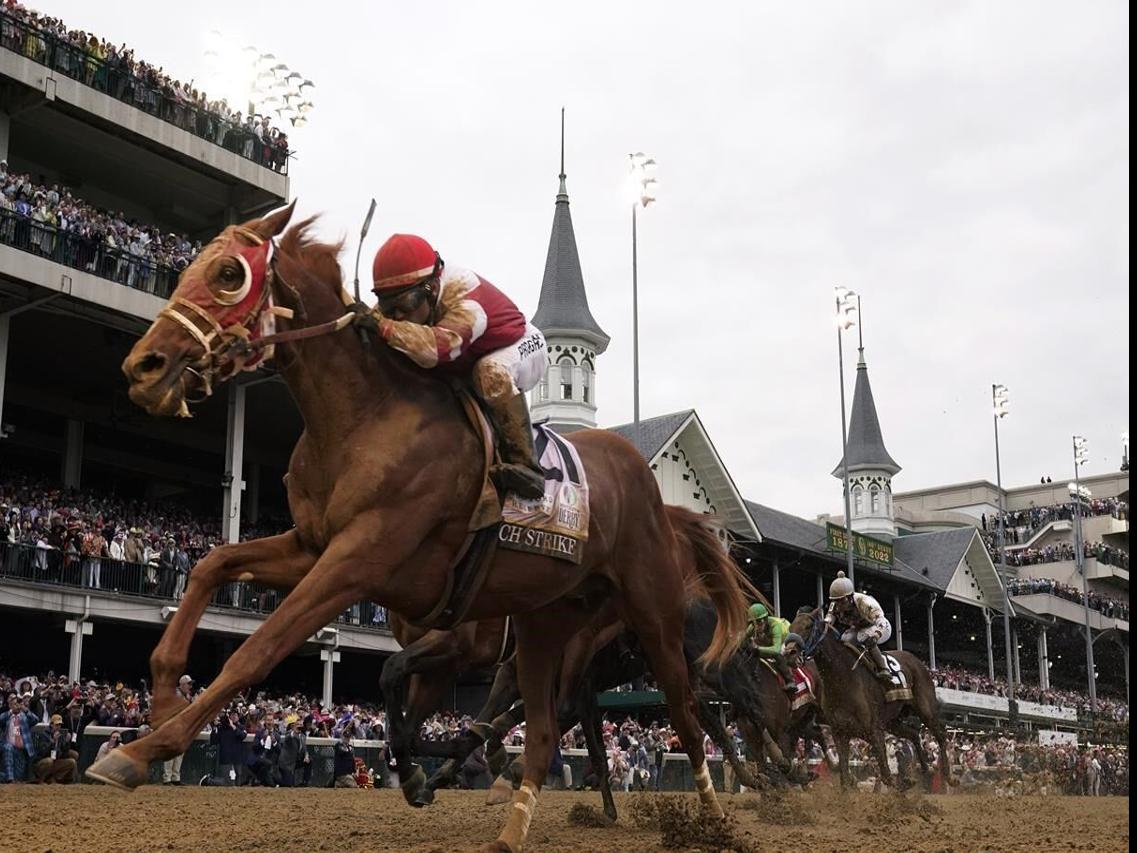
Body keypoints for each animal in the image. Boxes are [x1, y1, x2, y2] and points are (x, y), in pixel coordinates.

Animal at [88, 209, 754, 853]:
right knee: (547, 728)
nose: (143, 365)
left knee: (688, 713)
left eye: (229, 273)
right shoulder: (313, 547)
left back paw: (717, 814)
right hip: (546, 624)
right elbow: (211, 565)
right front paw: (164, 693)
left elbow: (261, 650)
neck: (366, 419)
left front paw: (144, 748)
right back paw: (513, 824)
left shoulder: (360, 563)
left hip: (652, 615)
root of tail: (646, 480)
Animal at [791, 609, 950, 791]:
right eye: (791, 626)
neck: (843, 678)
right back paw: (925, 769)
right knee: (914, 734)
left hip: (925, 708)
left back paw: (949, 776)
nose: (788, 651)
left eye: (808, 626)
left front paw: (902, 785)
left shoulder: (874, 731)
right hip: (893, 721)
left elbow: (886, 775)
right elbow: (845, 778)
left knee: (940, 734)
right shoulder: (840, 732)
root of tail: (917, 661)